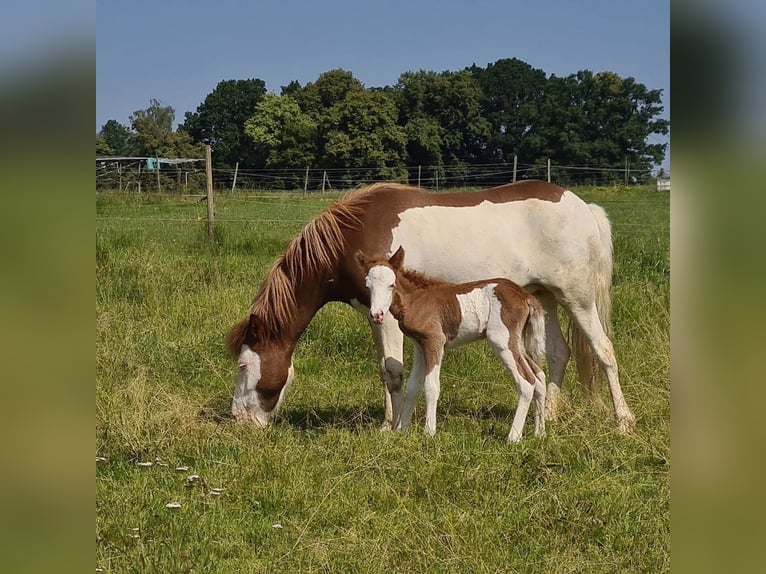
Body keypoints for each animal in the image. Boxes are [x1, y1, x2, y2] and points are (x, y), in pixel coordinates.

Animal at [356, 245, 548, 444]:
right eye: (368, 286)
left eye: (391, 285)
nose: (376, 315)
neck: (416, 299)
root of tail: (525, 296)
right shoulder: (420, 346)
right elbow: (413, 386)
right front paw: (403, 431)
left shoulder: (434, 341)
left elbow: (431, 386)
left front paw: (429, 432)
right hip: (517, 342)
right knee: (539, 376)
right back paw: (540, 433)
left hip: (501, 339)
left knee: (527, 381)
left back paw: (513, 437)